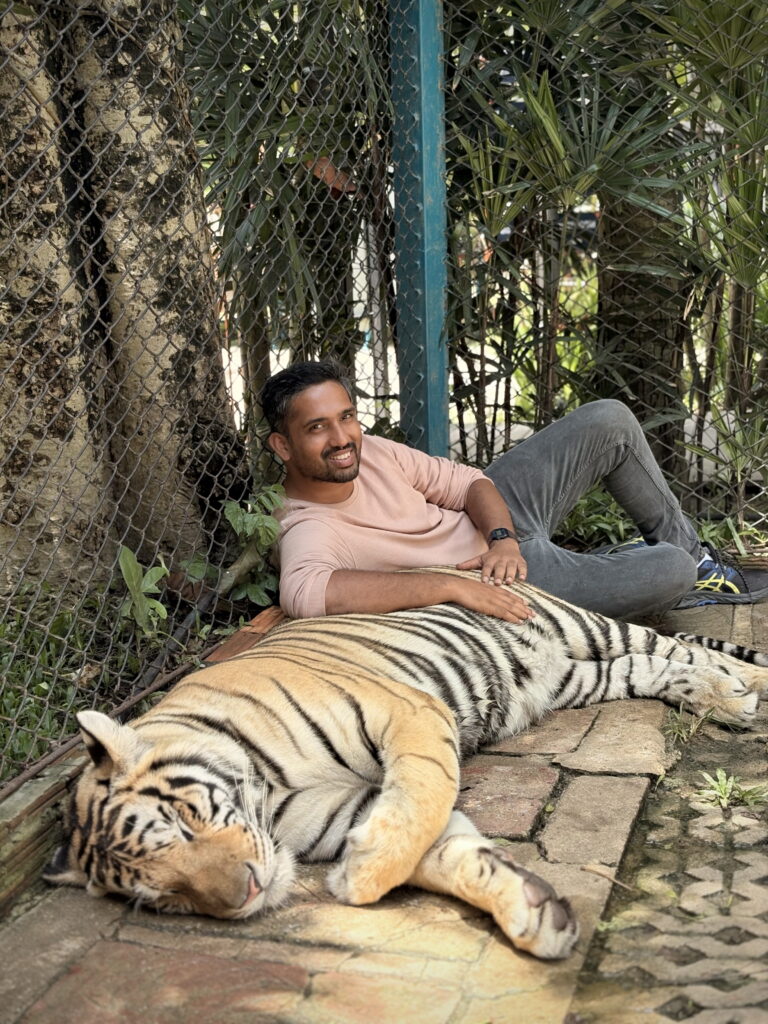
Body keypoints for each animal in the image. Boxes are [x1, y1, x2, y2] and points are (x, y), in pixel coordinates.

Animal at [45, 570, 768, 962]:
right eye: (165, 895)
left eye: (184, 824)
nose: (245, 895)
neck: (267, 795)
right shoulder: (344, 811)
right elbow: (452, 854)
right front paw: (535, 915)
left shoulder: (410, 715)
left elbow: (421, 801)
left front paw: (361, 879)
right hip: (577, 678)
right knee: (659, 665)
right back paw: (725, 695)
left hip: (588, 629)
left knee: (674, 642)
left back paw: (743, 689)